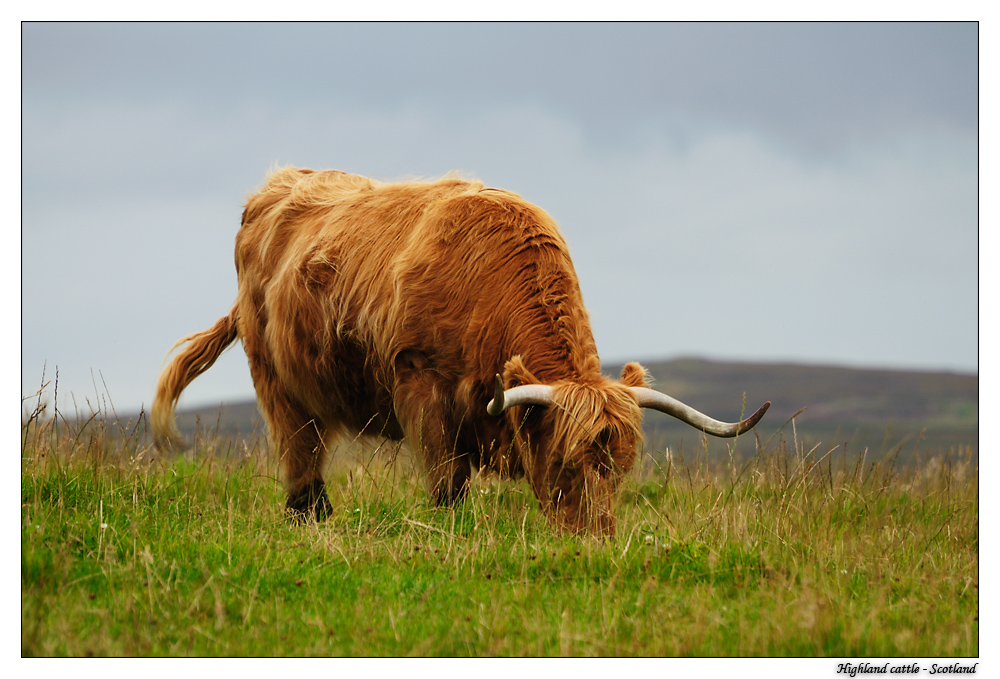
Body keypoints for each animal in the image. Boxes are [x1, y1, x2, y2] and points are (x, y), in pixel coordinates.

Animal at [152, 167, 768, 532]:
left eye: (619, 467)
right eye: (566, 461)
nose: (593, 539)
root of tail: (277, 185)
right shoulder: (422, 387)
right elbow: (447, 483)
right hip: (273, 374)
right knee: (298, 447)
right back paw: (311, 516)